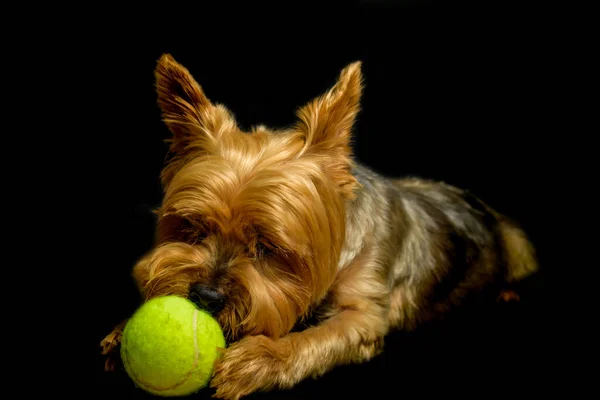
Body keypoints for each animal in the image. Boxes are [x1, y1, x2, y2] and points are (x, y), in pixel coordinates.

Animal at [101, 54, 536, 400]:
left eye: (268, 247)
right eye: (192, 227)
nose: (204, 296)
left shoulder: (364, 313)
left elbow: (317, 337)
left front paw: (262, 357)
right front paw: (123, 331)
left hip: (517, 242)